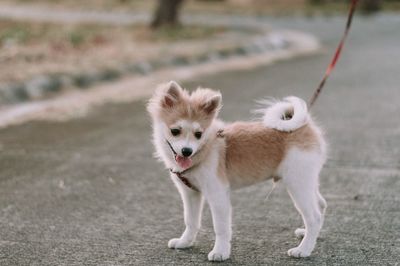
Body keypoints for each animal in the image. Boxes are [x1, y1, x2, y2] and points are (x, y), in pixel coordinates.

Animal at [147, 80, 324, 260]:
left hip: (297, 184)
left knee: (314, 217)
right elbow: (191, 221)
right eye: (175, 131)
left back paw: (304, 249)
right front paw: (185, 242)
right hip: (307, 182)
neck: (206, 148)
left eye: (198, 134)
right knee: (321, 205)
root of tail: (305, 125)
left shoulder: (217, 194)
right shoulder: (190, 194)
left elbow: (221, 227)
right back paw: (307, 233)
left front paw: (220, 252)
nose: (187, 151)